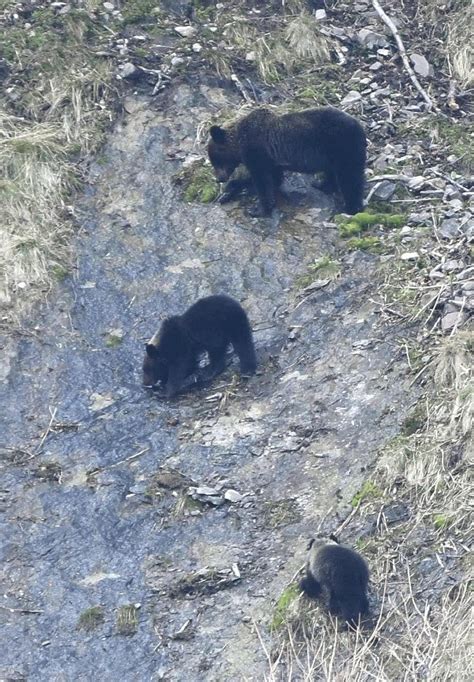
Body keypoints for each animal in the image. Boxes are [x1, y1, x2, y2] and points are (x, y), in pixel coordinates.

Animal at [207, 106, 366, 215]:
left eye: (215, 160)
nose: (219, 178)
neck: (240, 141)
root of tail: (360, 127)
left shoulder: (258, 152)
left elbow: (263, 182)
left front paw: (257, 210)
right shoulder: (272, 160)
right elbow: (274, 179)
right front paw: (227, 192)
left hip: (342, 147)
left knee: (350, 178)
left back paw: (351, 208)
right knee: (333, 172)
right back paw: (321, 185)